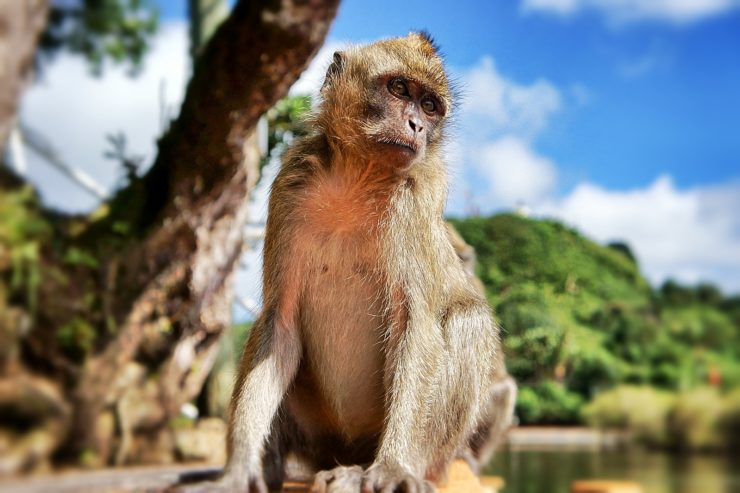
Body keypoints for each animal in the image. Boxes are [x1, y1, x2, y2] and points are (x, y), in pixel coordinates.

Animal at [213, 32, 515, 493]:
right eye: (400, 89)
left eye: (430, 106)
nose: (417, 126)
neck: (359, 177)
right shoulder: (290, 182)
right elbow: (279, 323)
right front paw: (241, 464)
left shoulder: (416, 197)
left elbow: (415, 324)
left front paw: (393, 466)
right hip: (320, 438)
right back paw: (278, 467)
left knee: (468, 320)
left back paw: (385, 469)